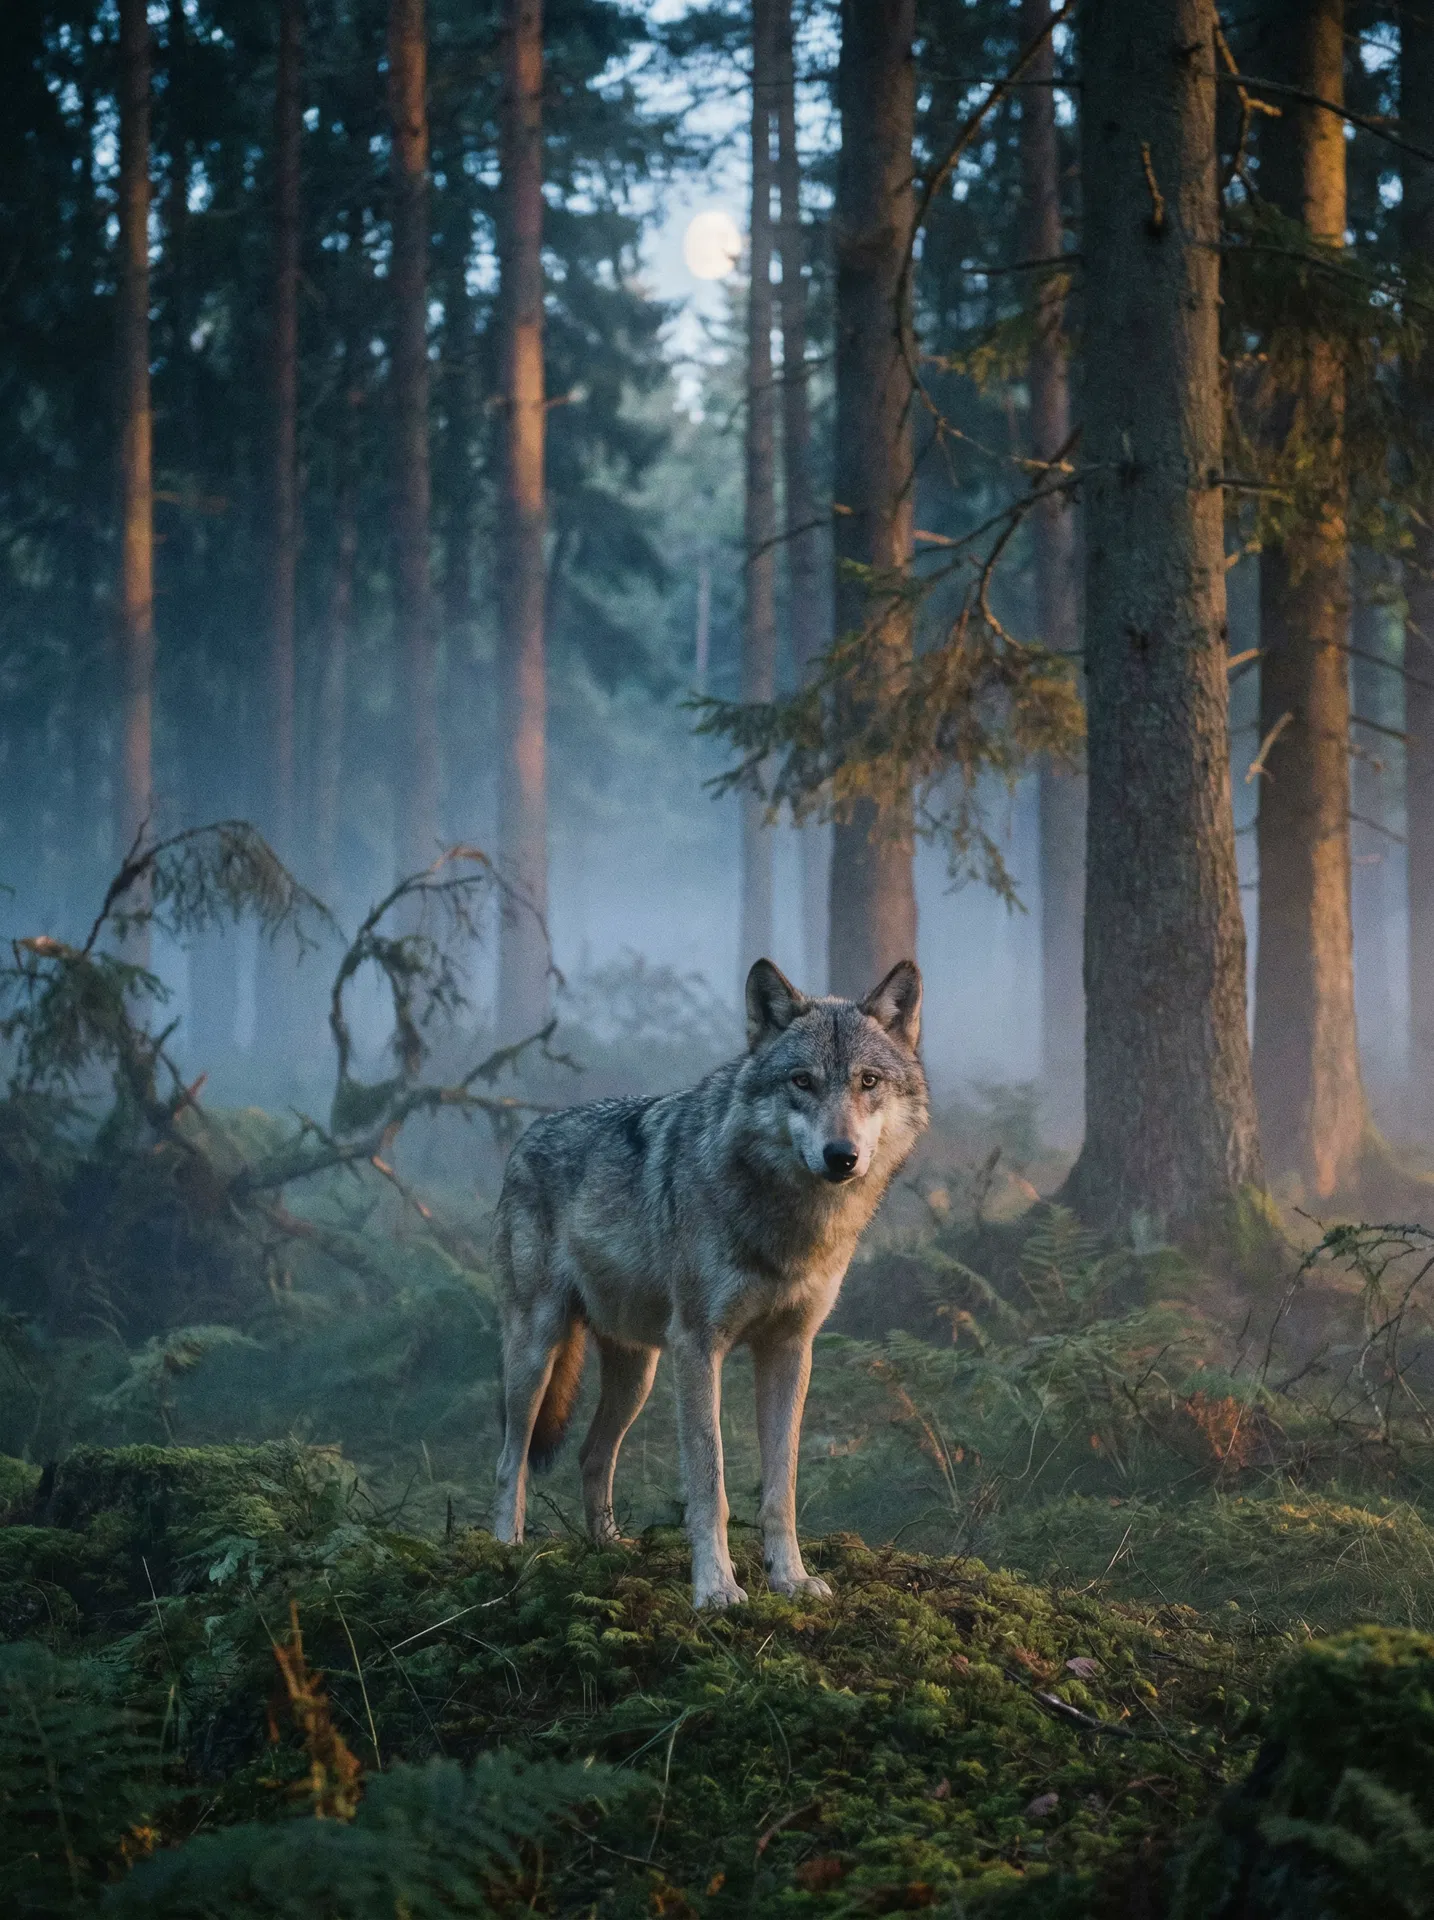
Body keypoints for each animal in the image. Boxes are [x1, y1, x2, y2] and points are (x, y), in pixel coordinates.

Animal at [492, 955, 929, 1608]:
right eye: (801, 1081)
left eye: (869, 1081)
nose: (841, 1155)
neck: (787, 1222)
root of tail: (525, 1137)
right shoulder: (700, 1347)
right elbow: (710, 1482)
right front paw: (717, 1588)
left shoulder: (790, 1350)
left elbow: (781, 1489)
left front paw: (791, 1579)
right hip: (538, 1351)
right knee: (510, 1455)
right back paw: (506, 1547)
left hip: (641, 1373)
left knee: (593, 1455)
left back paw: (609, 1547)